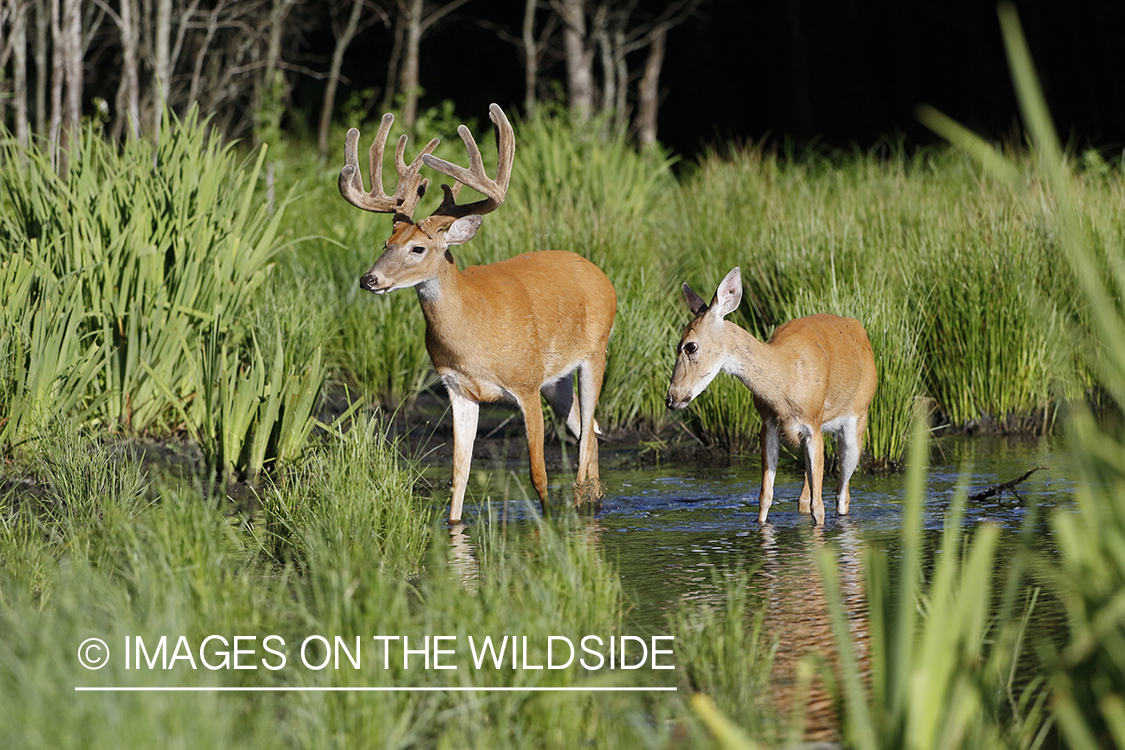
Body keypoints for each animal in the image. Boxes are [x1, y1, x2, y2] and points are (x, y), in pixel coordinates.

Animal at [337, 104, 621, 521]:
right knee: (591, 435)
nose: (369, 279)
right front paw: (454, 527)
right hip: (556, 381)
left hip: (594, 353)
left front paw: (548, 522)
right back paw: (594, 502)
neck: (472, 334)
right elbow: (459, 476)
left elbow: (538, 473)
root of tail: (600, 274)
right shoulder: (458, 390)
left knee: (586, 440)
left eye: (418, 248)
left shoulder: (525, 383)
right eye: (386, 241)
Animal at [666, 268, 877, 521]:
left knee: (842, 493)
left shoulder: (812, 424)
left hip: (858, 415)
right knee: (805, 496)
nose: (671, 398)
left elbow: (819, 506)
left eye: (690, 346)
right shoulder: (768, 424)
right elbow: (766, 496)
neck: (785, 381)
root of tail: (859, 328)